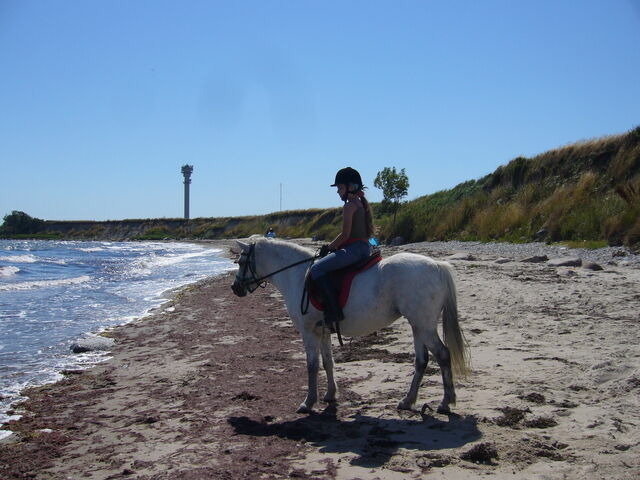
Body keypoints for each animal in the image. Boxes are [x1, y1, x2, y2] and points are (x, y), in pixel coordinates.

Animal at [231, 238, 470, 414]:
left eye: (241, 263)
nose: (235, 288)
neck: (297, 275)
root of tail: (437, 266)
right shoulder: (323, 331)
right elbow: (328, 362)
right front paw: (330, 395)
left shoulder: (308, 332)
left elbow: (311, 366)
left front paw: (308, 402)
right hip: (418, 325)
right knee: (422, 361)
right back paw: (407, 400)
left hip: (424, 326)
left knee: (443, 354)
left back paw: (446, 402)